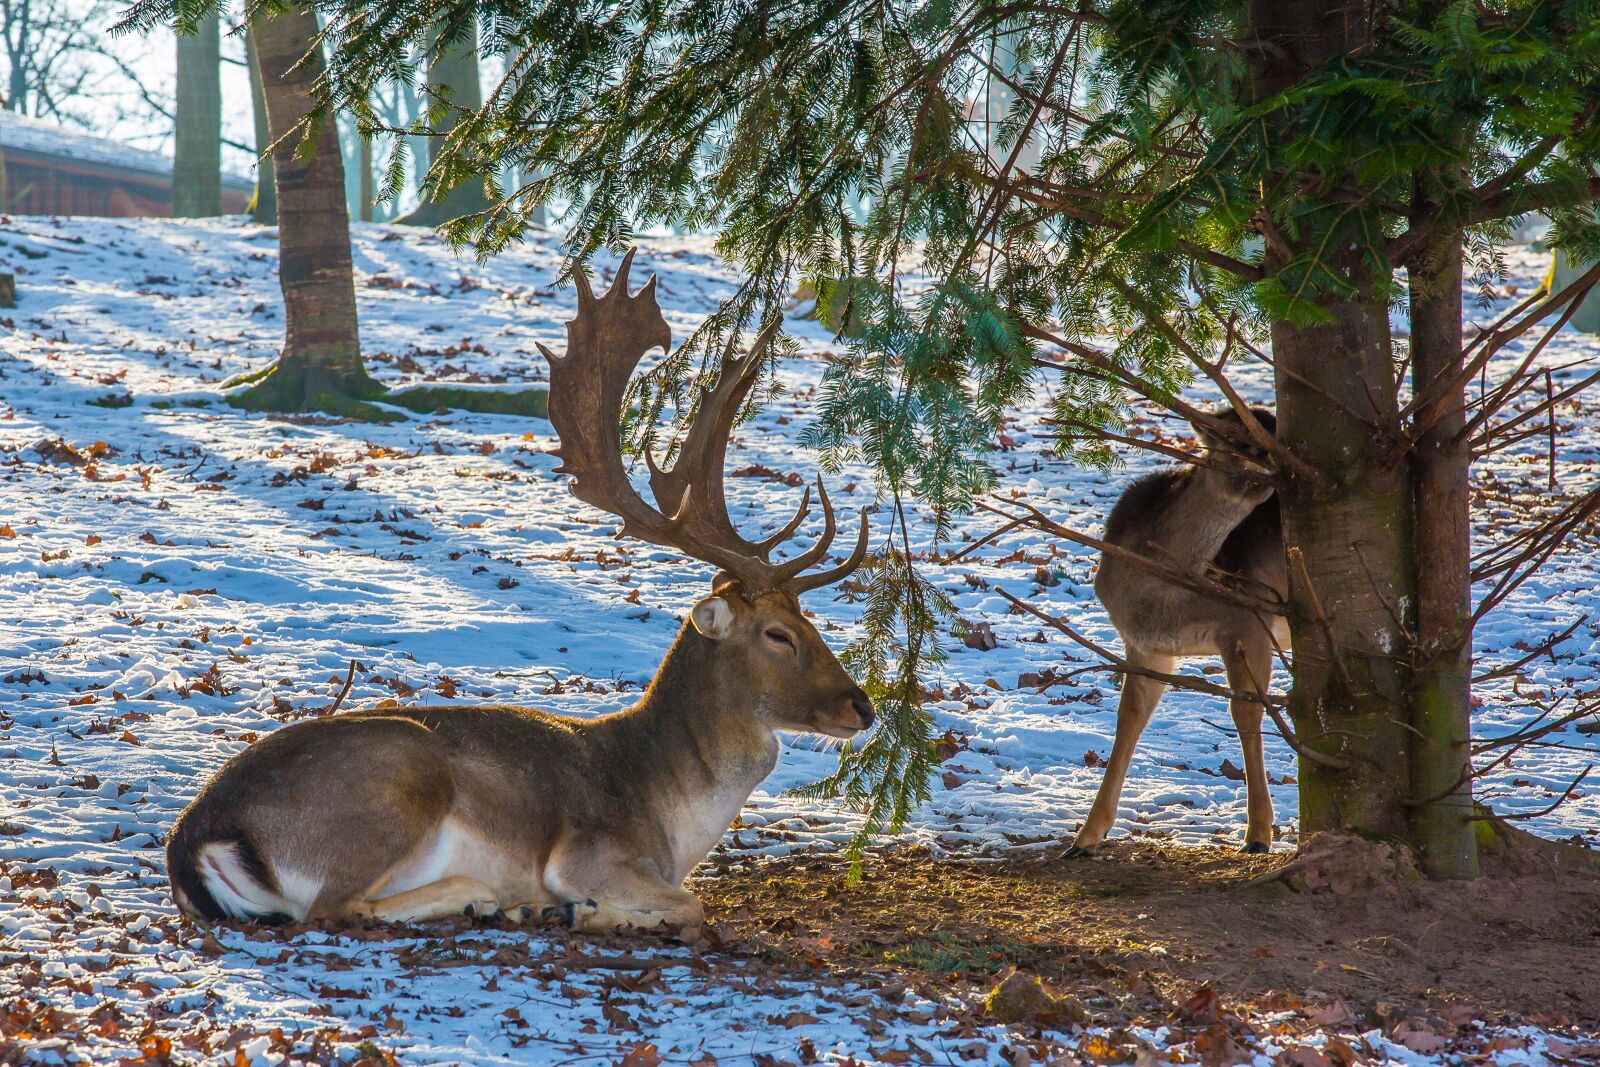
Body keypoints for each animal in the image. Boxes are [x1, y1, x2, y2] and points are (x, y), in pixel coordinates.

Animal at [166, 251, 873, 933]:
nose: (861, 706)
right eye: (778, 634)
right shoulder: (591, 851)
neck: (673, 819)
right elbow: (693, 907)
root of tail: (194, 840)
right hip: (396, 782)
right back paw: (504, 901)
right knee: (332, 909)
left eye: (809, 618)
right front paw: (593, 913)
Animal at [1065, 406, 1287, 858]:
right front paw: (1084, 838)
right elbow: (1129, 717)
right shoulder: (1145, 645)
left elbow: (1246, 711)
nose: (1284, 467)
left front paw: (1257, 834)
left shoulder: (1250, 620)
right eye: (1241, 440)